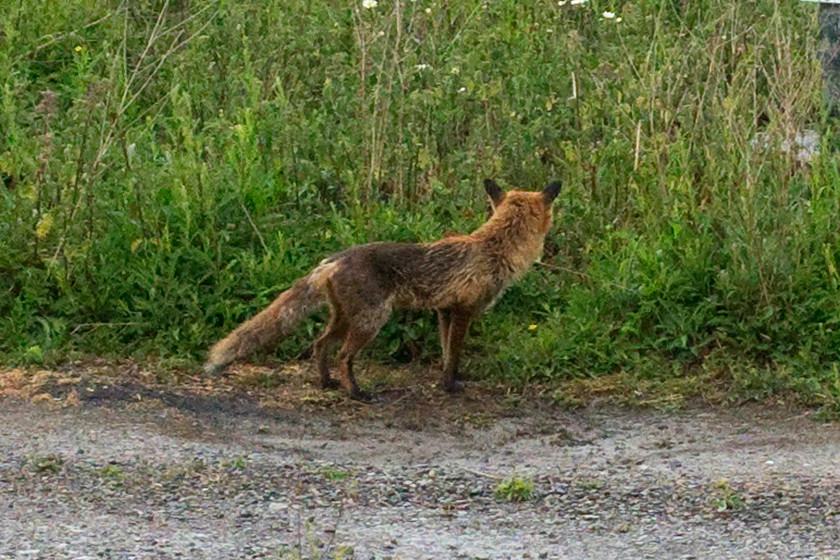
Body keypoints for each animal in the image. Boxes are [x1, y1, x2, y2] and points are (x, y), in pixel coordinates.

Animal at [203, 179, 560, 398]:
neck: (492, 249)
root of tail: (334, 259)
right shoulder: (462, 310)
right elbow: (454, 354)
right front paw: (451, 386)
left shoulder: (444, 311)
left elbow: (447, 352)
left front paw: (450, 380)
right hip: (371, 321)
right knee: (343, 355)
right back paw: (356, 393)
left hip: (344, 318)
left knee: (319, 345)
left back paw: (327, 383)